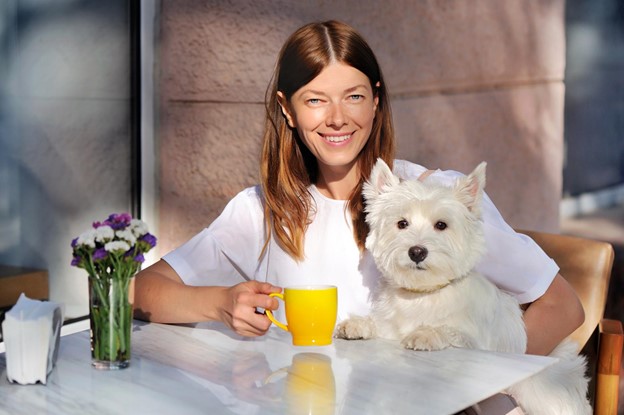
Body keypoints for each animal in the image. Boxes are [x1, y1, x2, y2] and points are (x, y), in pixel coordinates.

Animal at [336, 161, 588, 415]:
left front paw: (426, 334)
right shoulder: (389, 328)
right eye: (402, 223)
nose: (417, 251)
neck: (423, 294)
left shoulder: (476, 340)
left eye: (441, 225)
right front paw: (357, 324)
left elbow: (451, 331)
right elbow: (379, 324)